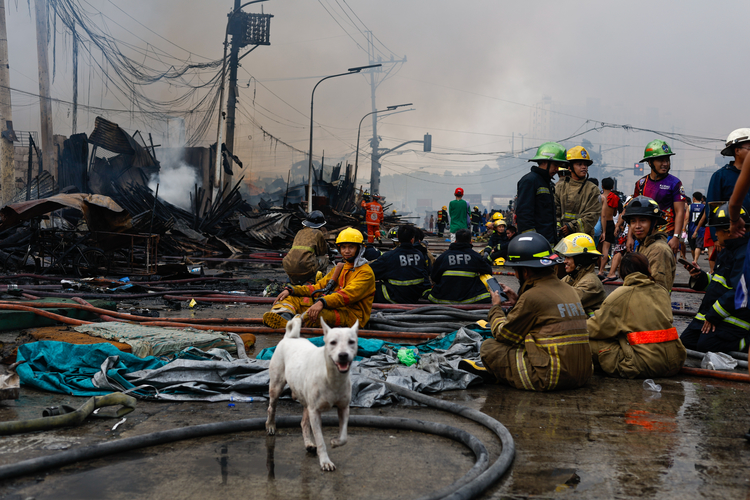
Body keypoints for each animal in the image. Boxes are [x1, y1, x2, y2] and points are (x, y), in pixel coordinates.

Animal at [266, 314, 360, 470]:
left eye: (351, 342)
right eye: (333, 342)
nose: (343, 355)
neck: (332, 377)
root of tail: (289, 337)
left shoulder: (344, 408)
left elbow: (344, 437)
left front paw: (335, 442)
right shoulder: (315, 412)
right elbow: (320, 439)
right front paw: (325, 461)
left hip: (305, 400)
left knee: (304, 423)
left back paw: (309, 443)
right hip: (276, 386)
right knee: (271, 407)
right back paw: (271, 426)